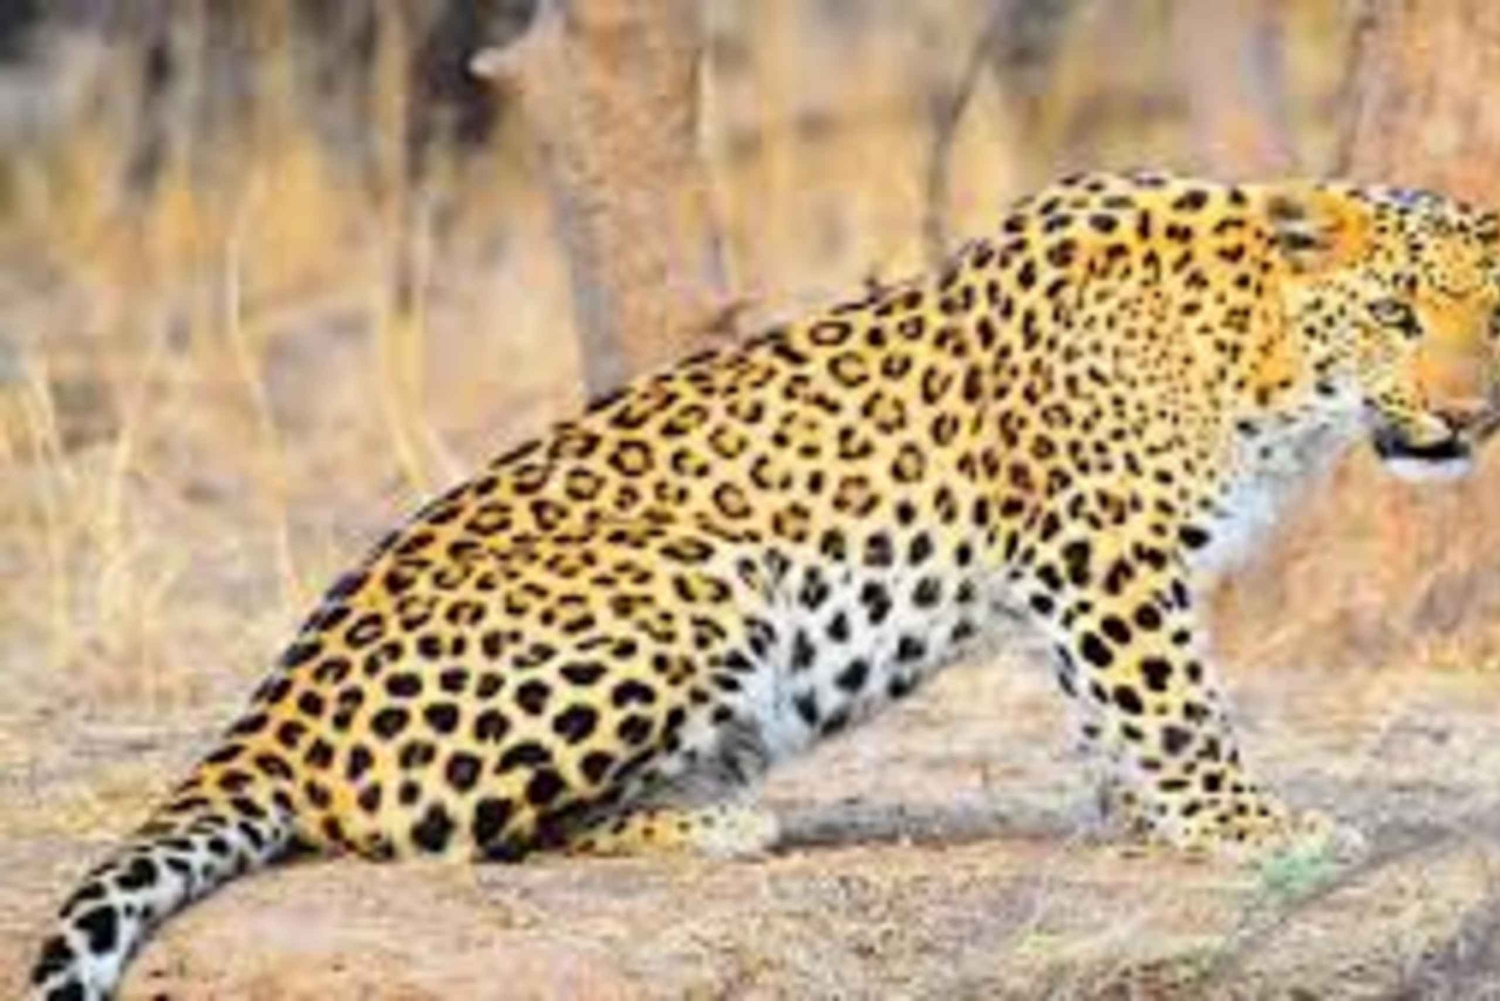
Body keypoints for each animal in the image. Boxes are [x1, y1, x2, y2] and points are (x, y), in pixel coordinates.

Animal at [27, 170, 1500, 1000]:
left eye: (1496, 317)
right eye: (1396, 317)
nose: (1470, 416)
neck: (1265, 364)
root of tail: (271, 712)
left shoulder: (1100, 575)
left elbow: (1116, 717)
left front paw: (1141, 821)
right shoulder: (1106, 551)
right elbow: (1179, 707)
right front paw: (1257, 826)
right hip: (695, 578)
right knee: (443, 833)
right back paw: (713, 823)